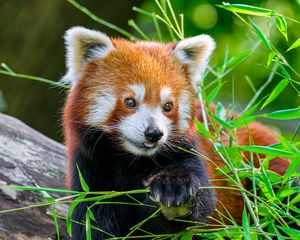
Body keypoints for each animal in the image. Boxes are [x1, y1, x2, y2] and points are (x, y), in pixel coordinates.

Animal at [62, 27, 290, 239]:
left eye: (168, 106)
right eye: (130, 102)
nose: (154, 133)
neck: (131, 160)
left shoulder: (189, 152)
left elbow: (205, 205)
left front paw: (174, 187)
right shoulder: (92, 171)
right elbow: (94, 222)